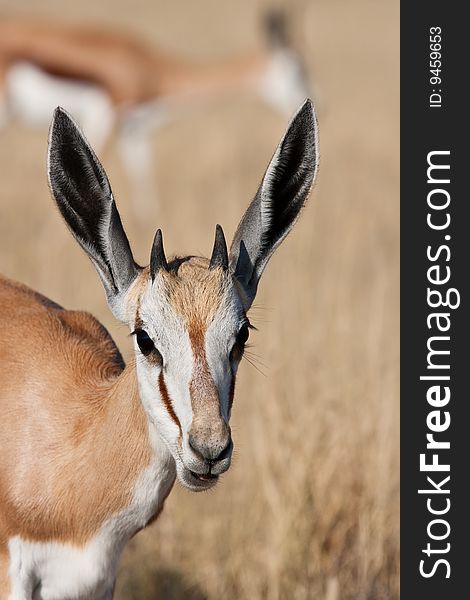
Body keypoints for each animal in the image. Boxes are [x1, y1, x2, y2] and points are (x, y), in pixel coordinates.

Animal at [0, 14, 310, 218]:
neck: (150, 67)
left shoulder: (134, 129)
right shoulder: (106, 117)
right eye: (299, 71)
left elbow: (142, 176)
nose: (317, 102)